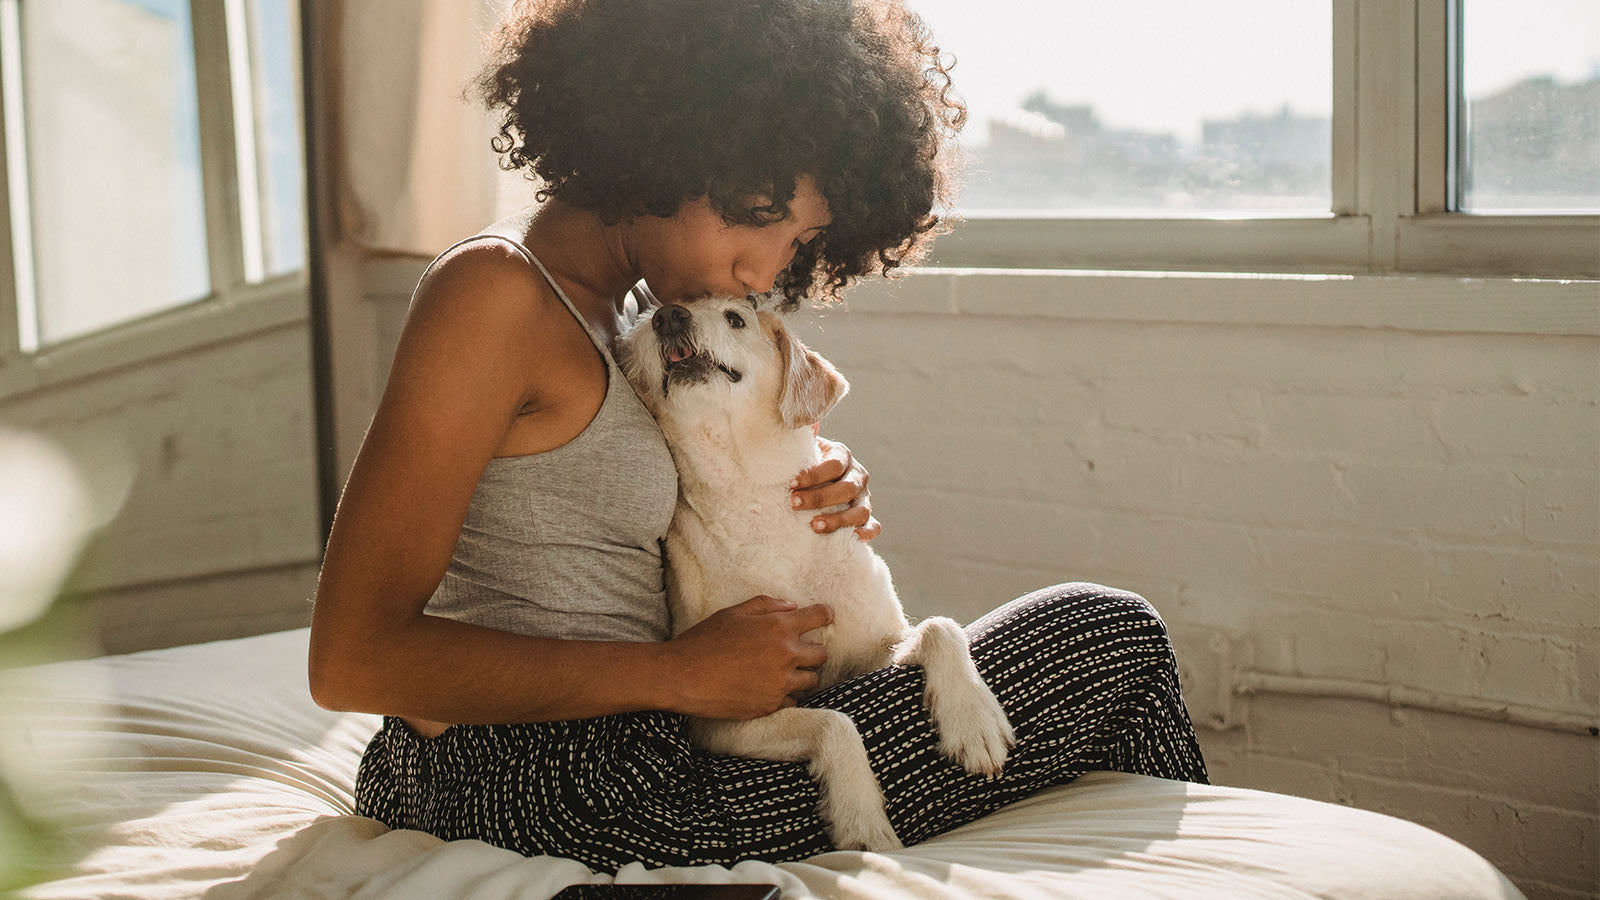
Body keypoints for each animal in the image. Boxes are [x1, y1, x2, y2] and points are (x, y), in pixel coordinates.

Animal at [617, 294, 1017, 845]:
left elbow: (940, 626)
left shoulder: (874, 650)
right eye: (643, 328)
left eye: (735, 319)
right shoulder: (721, 721)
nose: (667, 315)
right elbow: (833, 723)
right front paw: (864, 823)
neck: (754, 498)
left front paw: (974, 721)